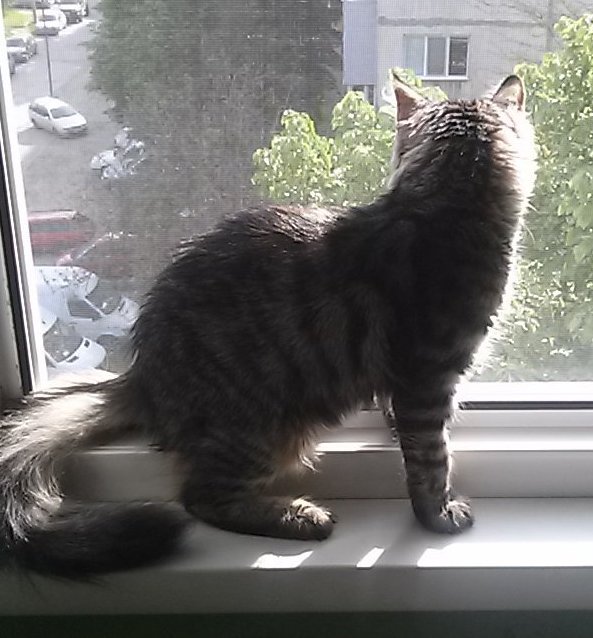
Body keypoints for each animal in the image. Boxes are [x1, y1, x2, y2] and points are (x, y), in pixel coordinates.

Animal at [0, 74, 536, 577]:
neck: (447, 209)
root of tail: (143, 374)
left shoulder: (406, 384)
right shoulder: (427, 380)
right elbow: (431, 460)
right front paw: (437, 515)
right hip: (259, 430)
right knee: (199, 499)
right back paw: (297, 516)